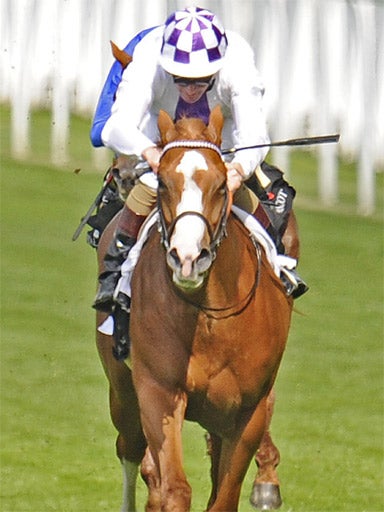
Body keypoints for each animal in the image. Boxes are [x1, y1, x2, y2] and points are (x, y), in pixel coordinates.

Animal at [95, 106, 292, 510]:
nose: (187, 258)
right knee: (131, 449)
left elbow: (224, 495)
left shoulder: (248, 410)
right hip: (123, 391)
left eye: (220, 187)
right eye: (162, 185)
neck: (212, 318)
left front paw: (265, 484)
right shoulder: (159, 391)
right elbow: (174, 487)